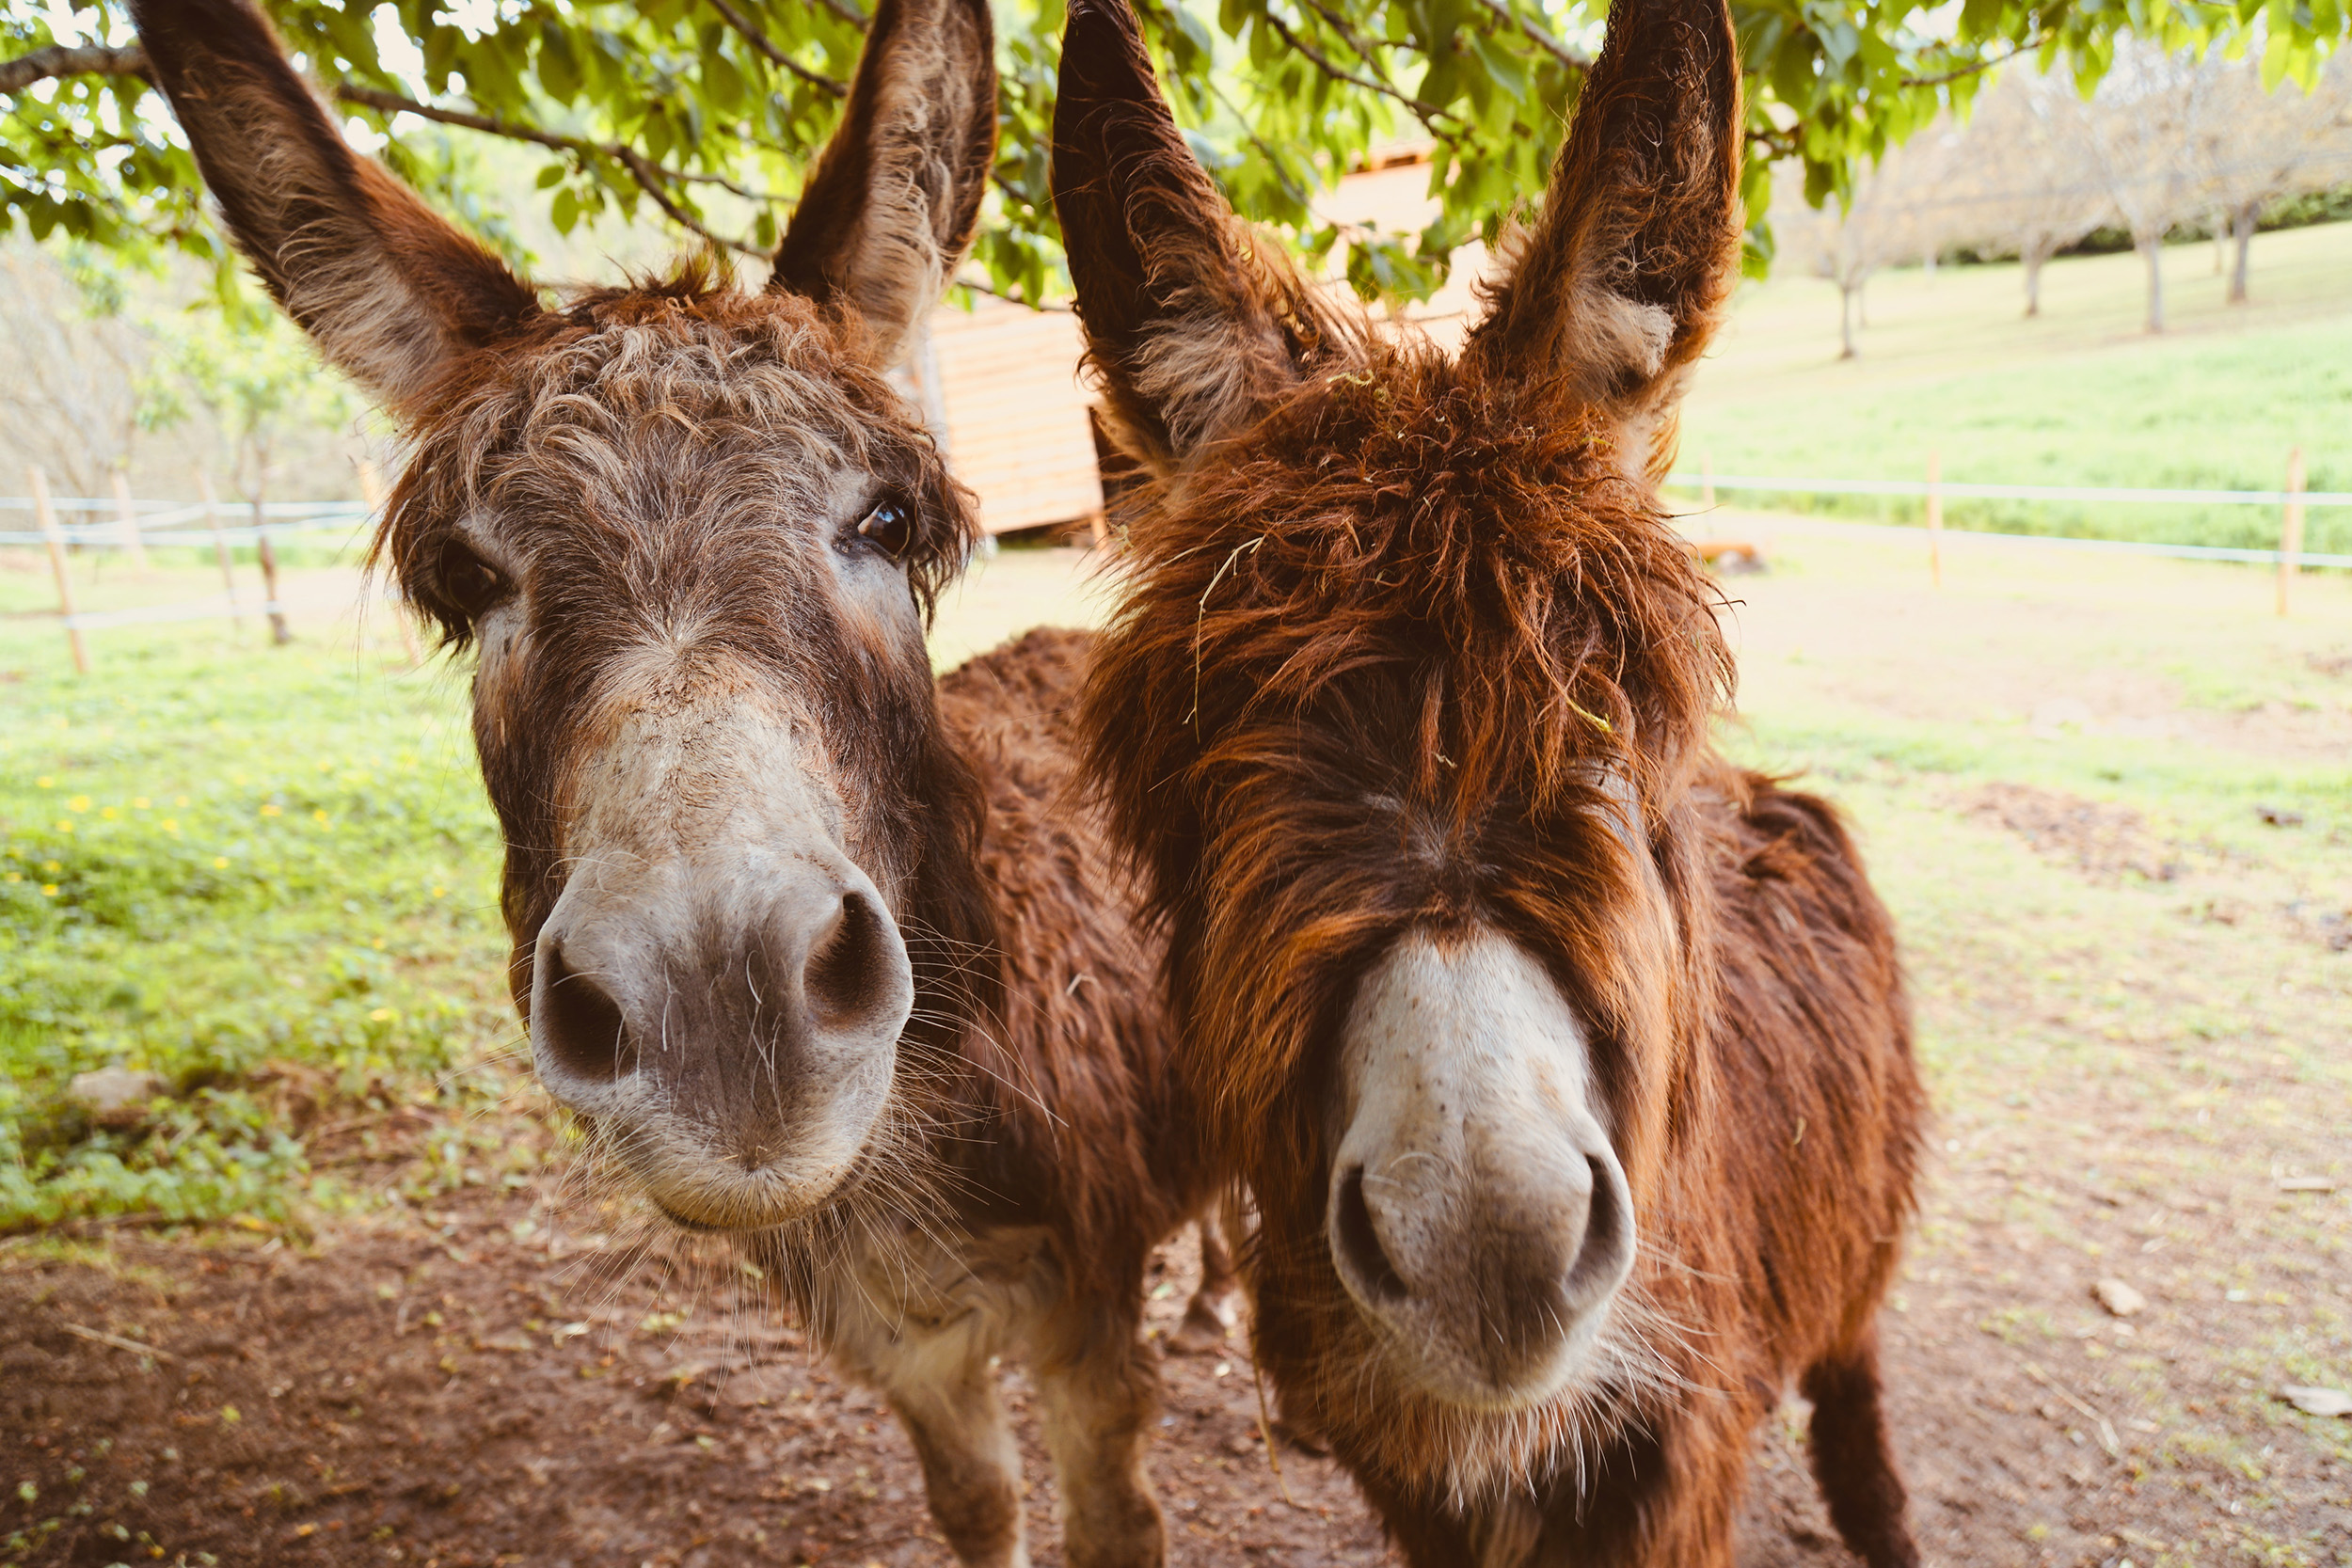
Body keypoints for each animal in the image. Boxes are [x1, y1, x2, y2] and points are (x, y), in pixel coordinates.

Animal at [130, 0, 1226, 1560]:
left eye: (889, 520)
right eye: (466, 581)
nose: (723, 1007)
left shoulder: (1086, 1328)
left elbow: (1116, 1517)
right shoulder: (905, 1346)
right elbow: (975, 1505)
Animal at [1050, 0, 1927, 1559]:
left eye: (1621, 715)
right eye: (1208, 766)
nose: (1485, 1245)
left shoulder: (1677, 1466)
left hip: (1855, 1266)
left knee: (1858, 1411)